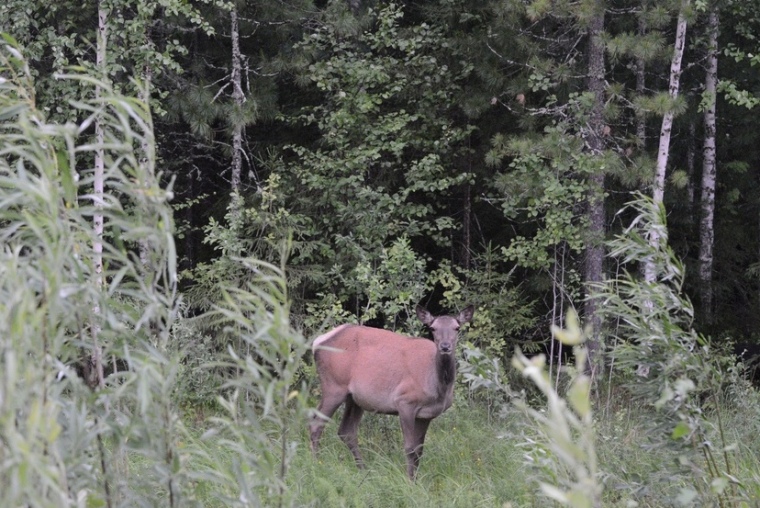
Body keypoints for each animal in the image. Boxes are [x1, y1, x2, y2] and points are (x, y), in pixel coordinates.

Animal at [308, 306, 476, 480]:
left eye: (457, 328)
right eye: (433, 328)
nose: (445, 346)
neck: (437, 387)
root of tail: (317, 342)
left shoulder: (426, 415)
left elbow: (419, 450)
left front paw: (417, 479)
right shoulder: (404, 402)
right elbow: (410, 448)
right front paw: (410, 480)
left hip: (354, 398)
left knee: (345, 431)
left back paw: (363, 470)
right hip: (334, 386)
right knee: (316, 424)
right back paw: (316, 464)